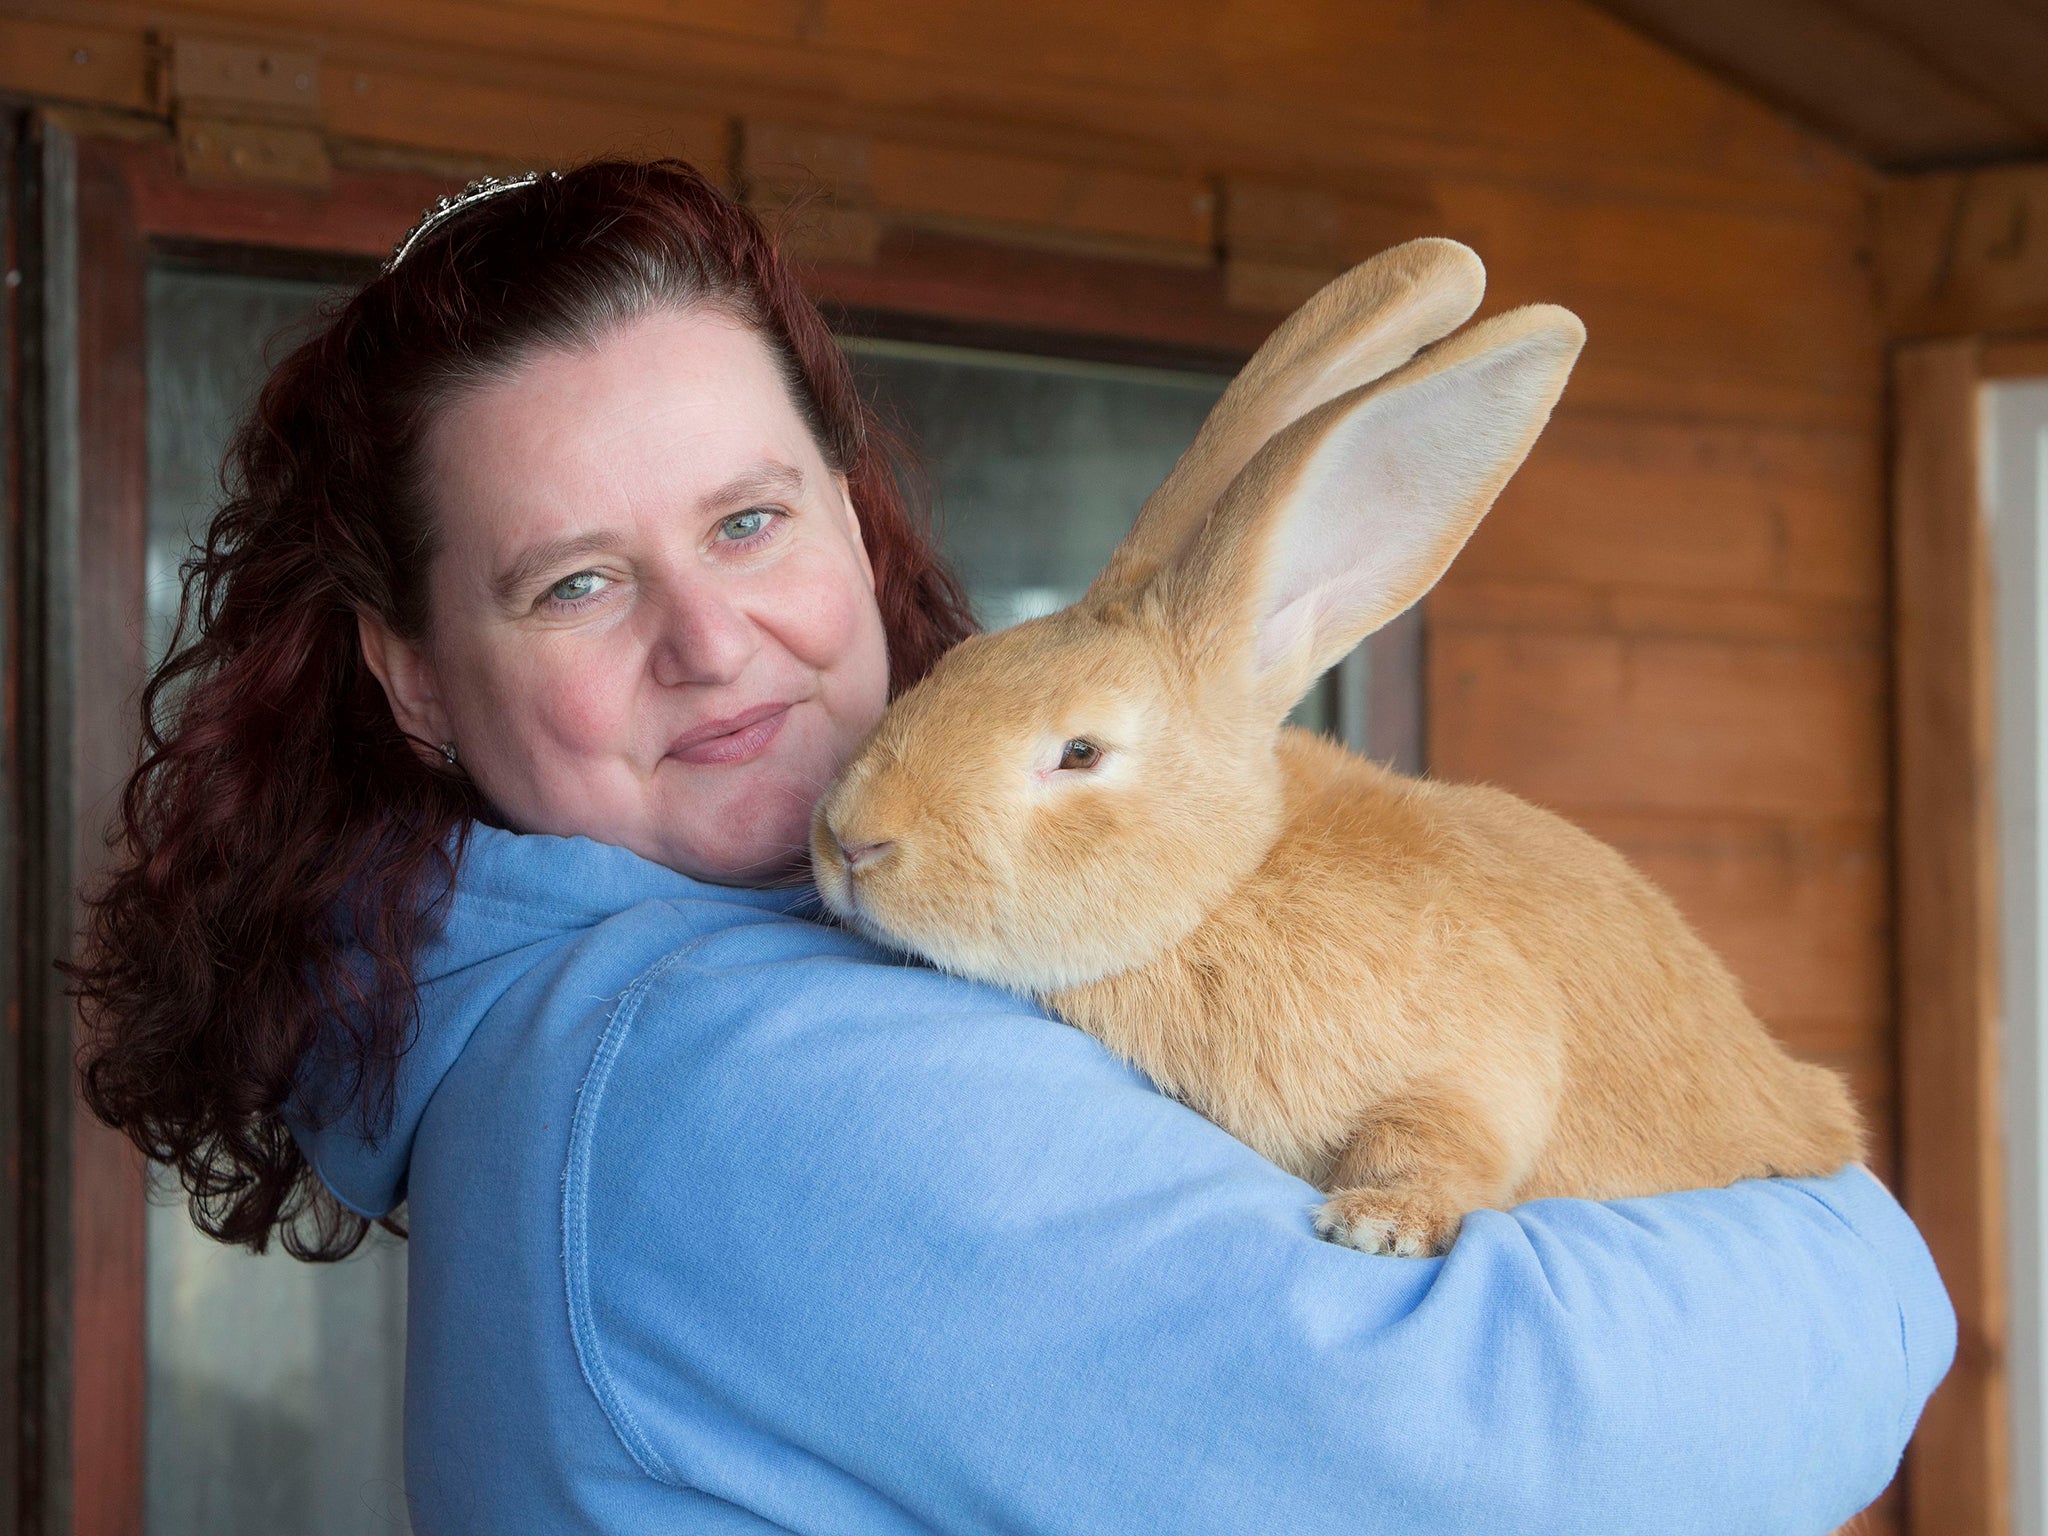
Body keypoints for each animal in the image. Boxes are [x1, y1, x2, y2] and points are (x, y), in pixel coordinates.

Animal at [806, 237, 1867, 1253]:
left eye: (1079, 753)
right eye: (955, 662)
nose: (850, 841)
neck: (1228, 888)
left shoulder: (1480, 1060)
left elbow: (1440, 1138)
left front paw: (1380, 1225)